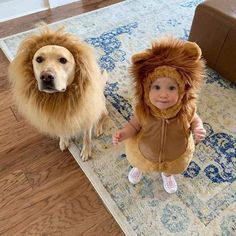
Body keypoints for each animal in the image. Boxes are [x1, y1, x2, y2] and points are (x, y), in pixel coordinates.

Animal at [8, 26, 108, 161]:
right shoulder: (57, 117)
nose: (46, 77)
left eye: (63, 60)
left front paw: (86, 151)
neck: (60, 97)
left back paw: (98, 129)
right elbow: (62, 130)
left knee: (103, 116)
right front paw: (64, 140)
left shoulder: (86, 117)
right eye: (39, 59)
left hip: (100, 107)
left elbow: (87, 138)